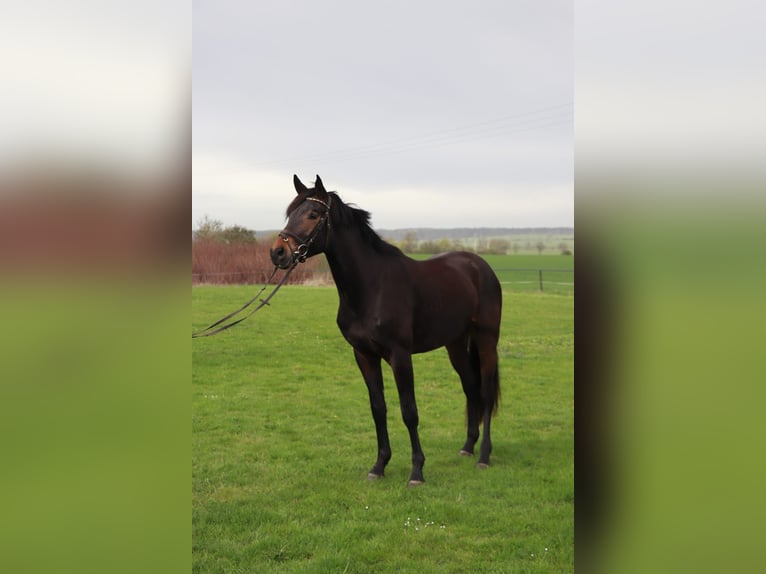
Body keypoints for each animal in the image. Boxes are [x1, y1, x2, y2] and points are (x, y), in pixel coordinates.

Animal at [272, 174, 504, 486]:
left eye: (313, 214)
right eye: (290, 213)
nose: (277, 252)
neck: (372, 286)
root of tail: (480, 266)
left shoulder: (400, 355)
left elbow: (409, 411)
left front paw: (417, 471)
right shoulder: (364, 355)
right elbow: (378, 409)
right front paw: (379, 465)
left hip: (486, 340)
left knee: (486, 391)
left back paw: (484, 456)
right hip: (455, 343)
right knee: (471, 387)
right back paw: (468, 447)